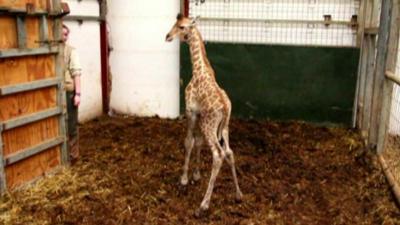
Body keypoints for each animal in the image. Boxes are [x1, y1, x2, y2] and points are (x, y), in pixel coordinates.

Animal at [165, 13, 242, 216]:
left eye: (182, 27)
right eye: (175, 23)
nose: (167, 36)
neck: (199, 68)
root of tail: (225, 108)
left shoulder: (191, 112)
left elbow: (188, 142)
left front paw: (184, 179)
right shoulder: (199, 115)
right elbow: (197, 142)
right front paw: (196, 175)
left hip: (210, 126)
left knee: (218, 154)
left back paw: (203, 205)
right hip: (225, 127)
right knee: (229, 152)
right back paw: (238, 194)